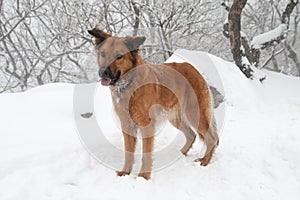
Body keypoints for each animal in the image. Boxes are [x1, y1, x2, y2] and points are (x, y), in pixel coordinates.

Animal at [88, 28, 219, 180]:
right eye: (103, 54)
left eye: (119, 56)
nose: (103, 73)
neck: (129, 83)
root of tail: (192, 67)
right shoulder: (127, 124)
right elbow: (128, 153)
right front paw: (125, 173)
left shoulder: (146, 124)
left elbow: (146, 154)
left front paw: (143, 177)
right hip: (175, 117)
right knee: (192, 135)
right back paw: (179, 155)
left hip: (194, 113)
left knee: (211, 138)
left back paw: (205, 161)